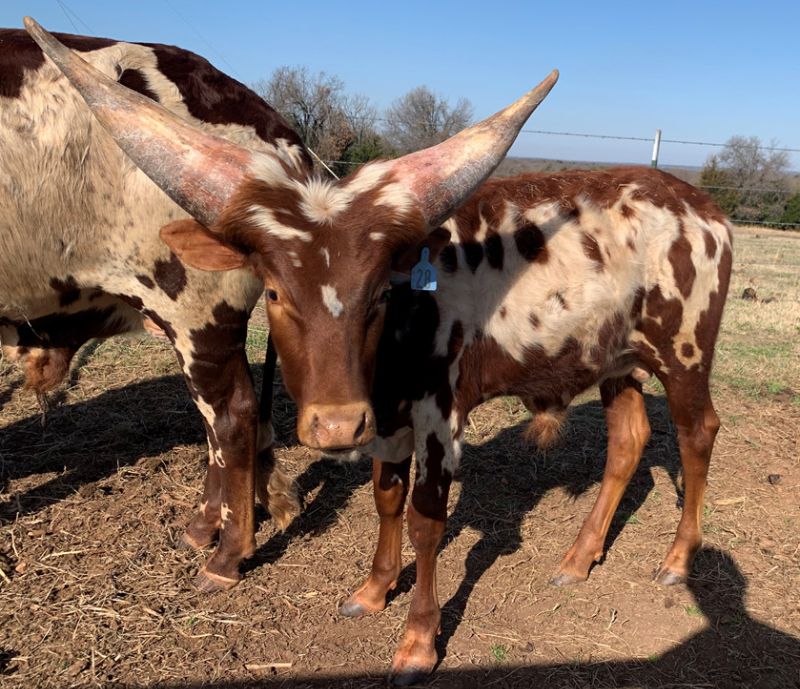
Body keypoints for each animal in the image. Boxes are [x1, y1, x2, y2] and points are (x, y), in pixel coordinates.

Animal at [1, 18, 556, 592]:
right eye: (274, 292)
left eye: (383, 292)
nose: (338, 428)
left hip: (193, 314)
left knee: (229, 417)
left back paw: (222, 552)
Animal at [324, 167, 732, 684]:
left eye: (375, 285)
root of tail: (701, 206)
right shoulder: (388, 414)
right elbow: (386, 496)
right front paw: (374, 589)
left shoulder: (438, 412)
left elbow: (425, 520)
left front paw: (417, 643)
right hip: (615, 361)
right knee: (628, 440)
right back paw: (579, 557)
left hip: (684, 354)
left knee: (697, 434)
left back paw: (678, 558)